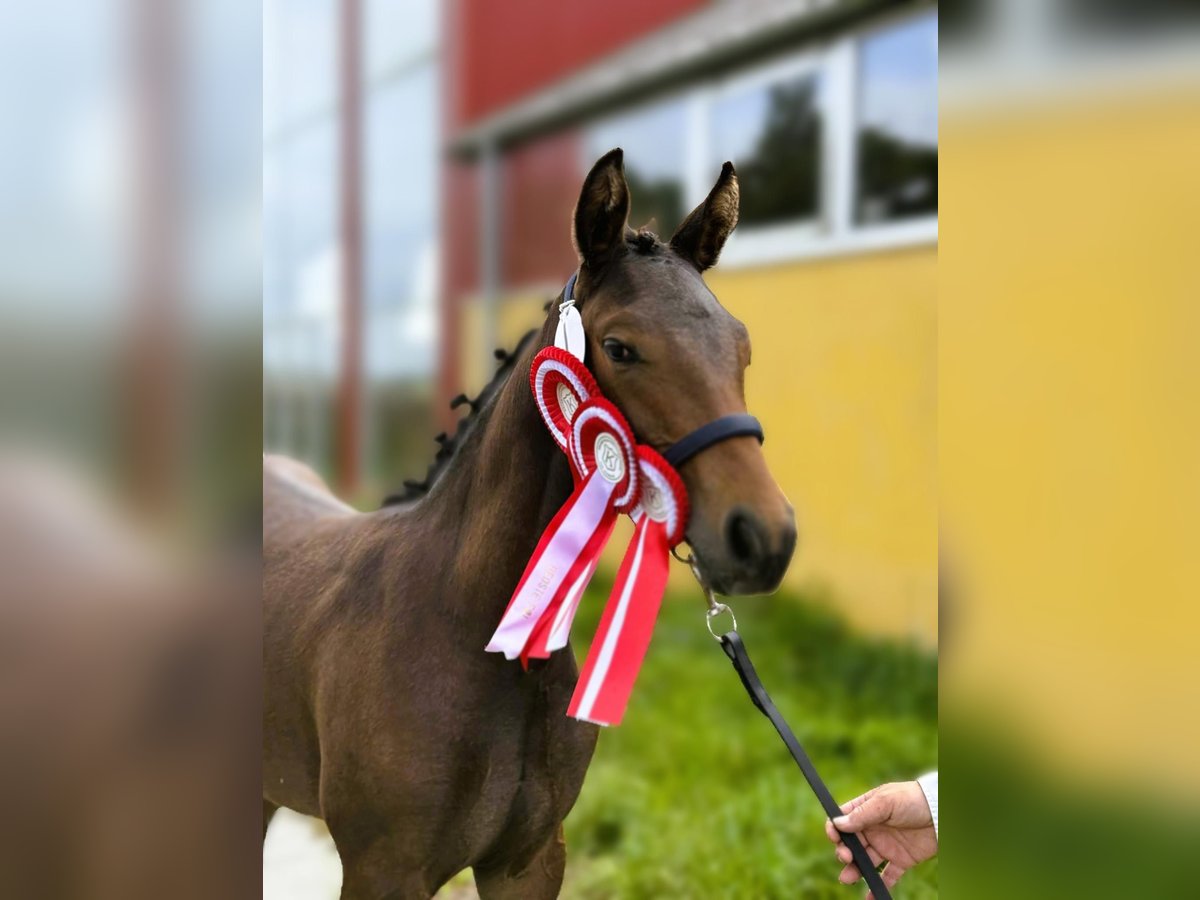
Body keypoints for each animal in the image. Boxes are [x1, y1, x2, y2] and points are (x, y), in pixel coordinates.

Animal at [263, 148, 797, 899]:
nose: (764, 537)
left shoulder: (530, 859)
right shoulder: (381, 870)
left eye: (741, 346)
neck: (474, 630)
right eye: (620, 347)